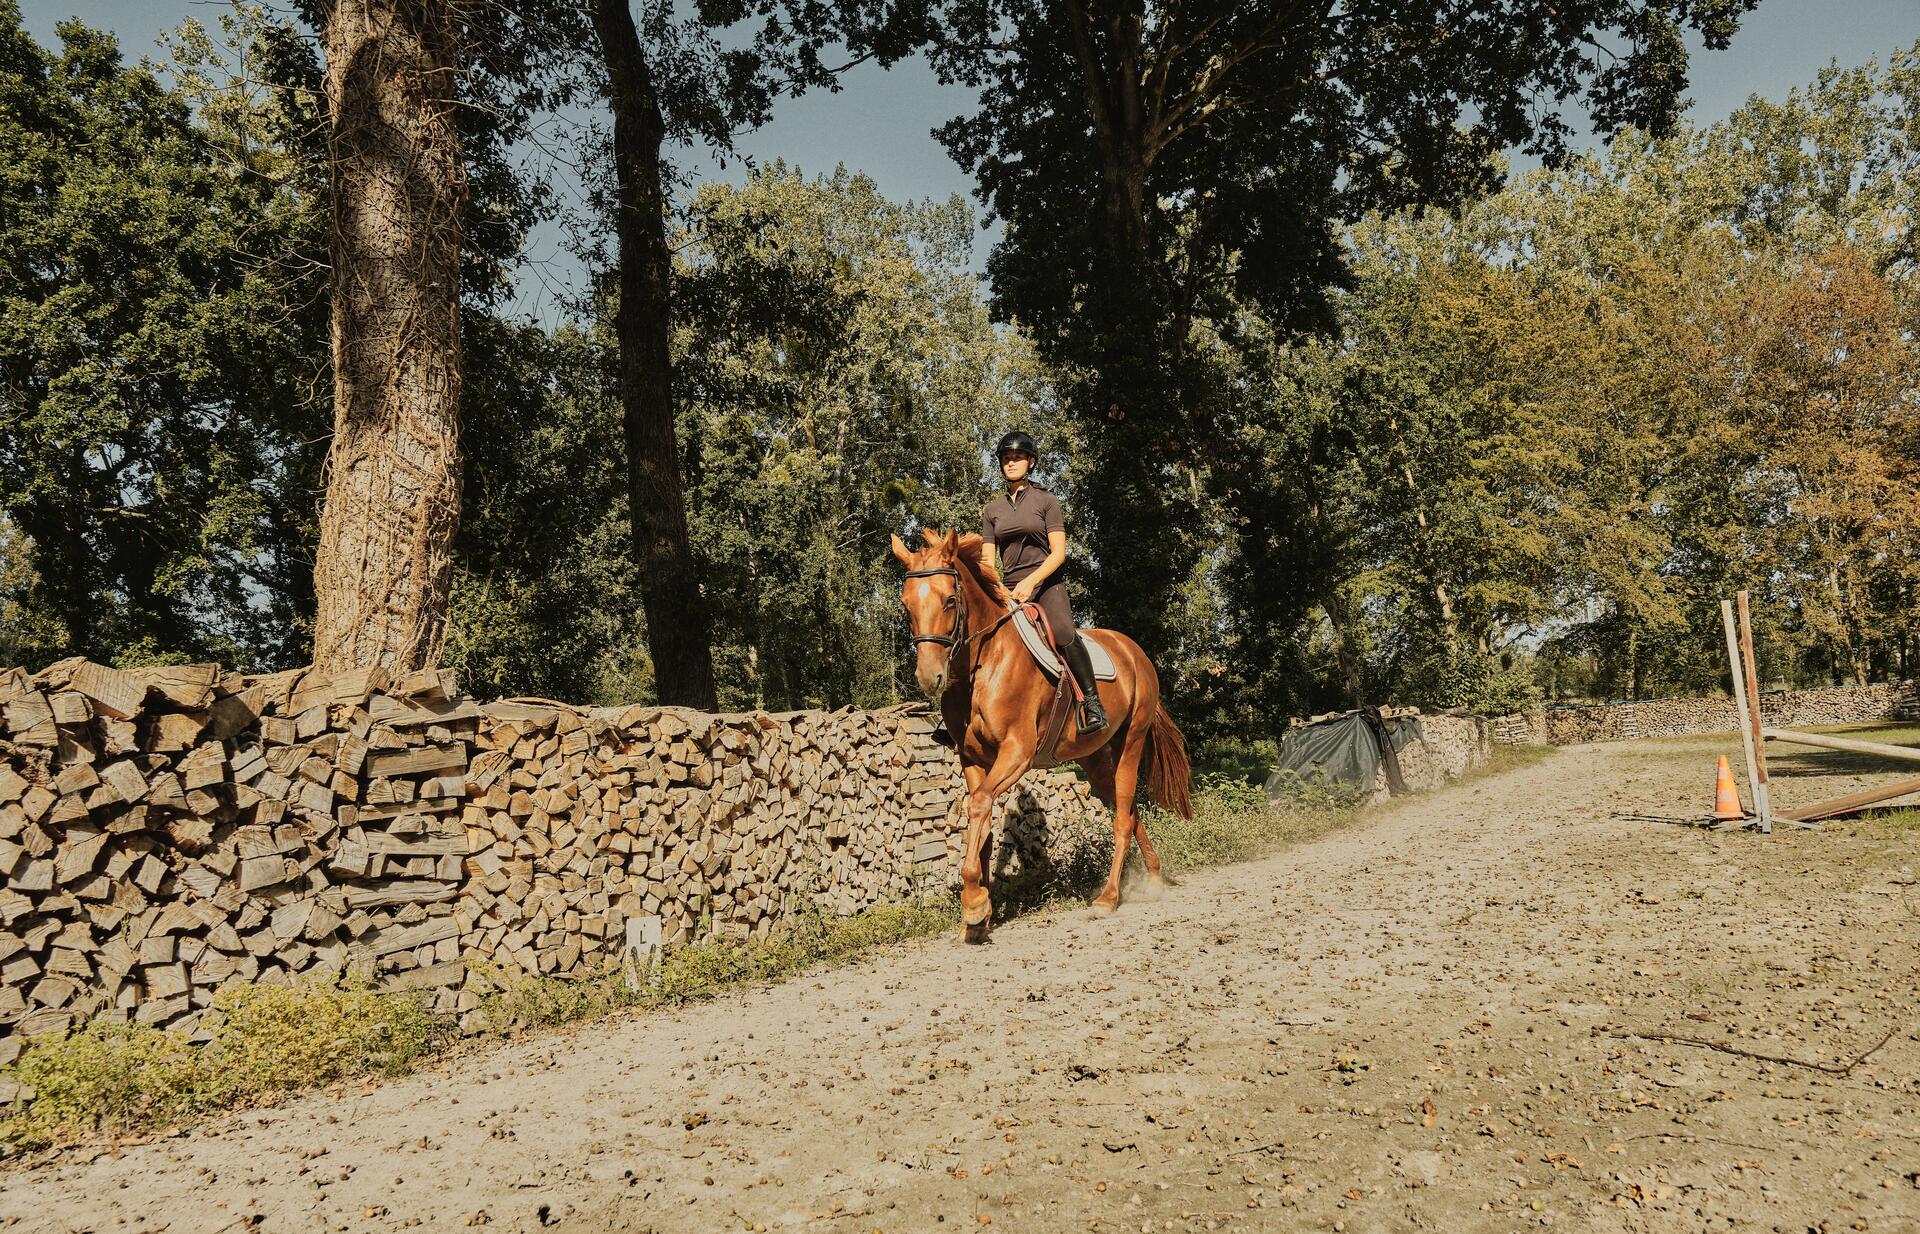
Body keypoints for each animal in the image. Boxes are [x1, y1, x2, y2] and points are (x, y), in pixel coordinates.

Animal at [891, 528, 1193, 943]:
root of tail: (1135, 652)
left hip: (1131, 741)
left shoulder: (1017, 752)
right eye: (906, 605)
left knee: (1122, 816)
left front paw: (974, 903)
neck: (983, 665)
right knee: (1129, 811)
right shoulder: (972, 759)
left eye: (950, 600)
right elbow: (981, 825)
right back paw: (1153, 877)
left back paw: (1108, 897)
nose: (929, 677)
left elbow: (980, 805)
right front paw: (980, 913)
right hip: (1095, 758)